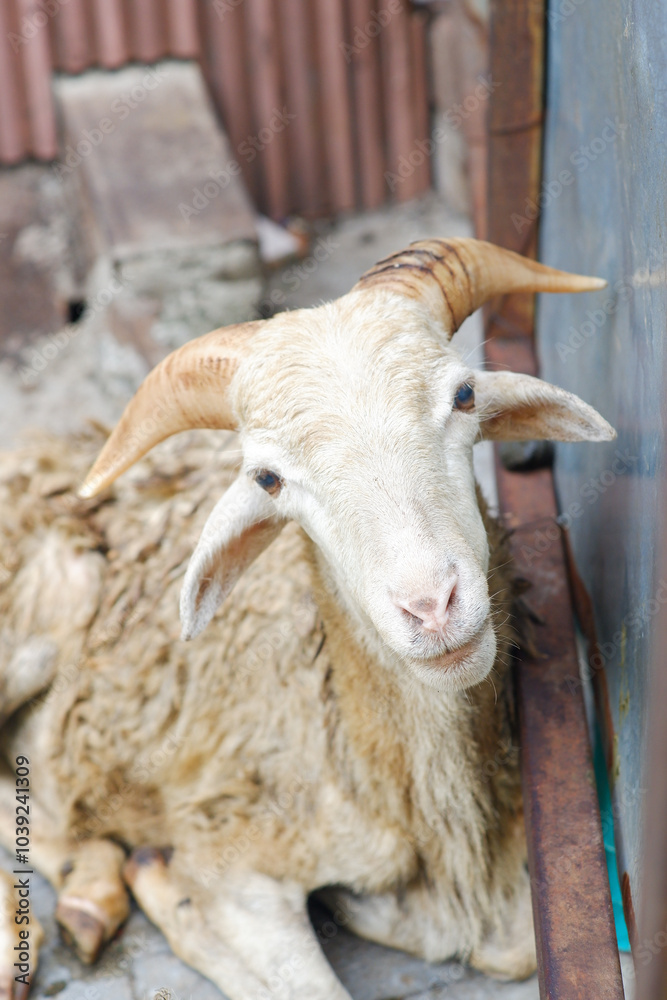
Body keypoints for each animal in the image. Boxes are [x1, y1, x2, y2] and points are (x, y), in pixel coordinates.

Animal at [0, 239, 613, 1000]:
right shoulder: (234, 855)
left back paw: (91, 894)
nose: (431, 606)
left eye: (464, 396)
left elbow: (515, 944)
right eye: (268, 479)